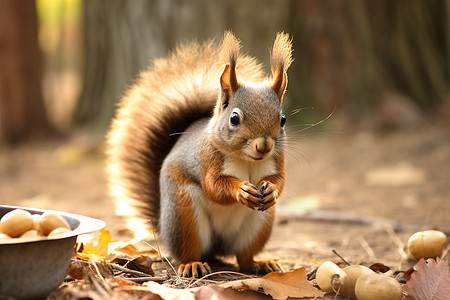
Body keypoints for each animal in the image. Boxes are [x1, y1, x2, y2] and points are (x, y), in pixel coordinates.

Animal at [107, 30, 294, 276]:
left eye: (282, 119)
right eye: (234, 118)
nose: (263, 147)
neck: (248, 160)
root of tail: (217, 248)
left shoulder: (278, 159)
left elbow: (280, 179)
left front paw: (271, 189)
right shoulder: (207, 158)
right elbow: (213, 186)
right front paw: (240, 190)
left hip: (260, 221)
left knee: (244, 257)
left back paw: (261, 263)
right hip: (184, 214)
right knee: (189, 250)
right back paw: (192, 264)